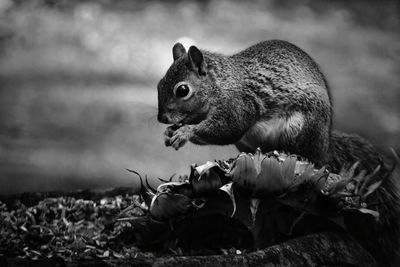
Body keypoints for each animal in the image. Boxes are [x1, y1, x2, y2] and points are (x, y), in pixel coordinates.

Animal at [157, 39, 400, 266]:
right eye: (159, 84)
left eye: (182, 90)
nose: (161, 118)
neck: (221, 85)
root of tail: (324, 147)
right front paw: (171, 132)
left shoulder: (238, 105)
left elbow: (227, 129)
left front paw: (185, 132)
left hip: (300, 131)